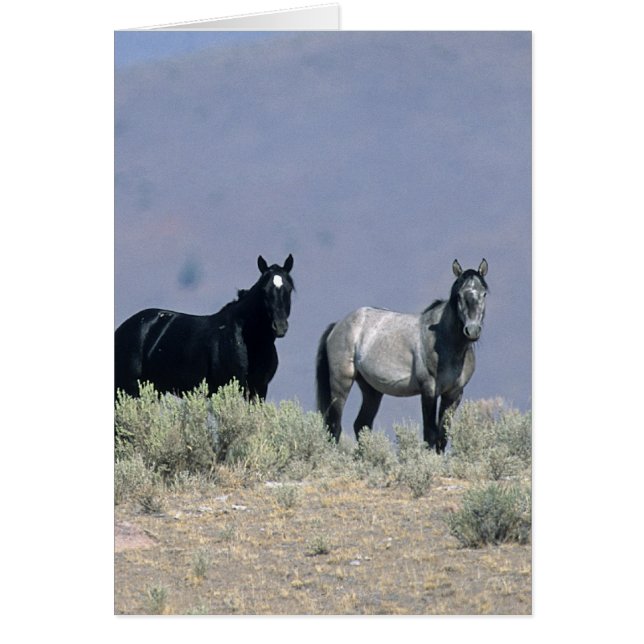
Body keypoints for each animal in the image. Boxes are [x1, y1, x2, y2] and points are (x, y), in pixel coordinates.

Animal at [115, 254, 294, 401]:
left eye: (289, 289)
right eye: (264, 290)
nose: (280, 327)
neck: (247, 340)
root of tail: (121, 329)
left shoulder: (259, 390)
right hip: (129, 389)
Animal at [316, 259, 488, 453]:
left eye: (484, 294)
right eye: (459, 295)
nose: (472, 330)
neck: (445, 342)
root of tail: (338, 325)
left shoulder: (454, 394)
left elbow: (442, 438)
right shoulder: (429, 390)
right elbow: (430, 434)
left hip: (371, 390)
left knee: (361, 424)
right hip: (341, 384)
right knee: (334, 427)